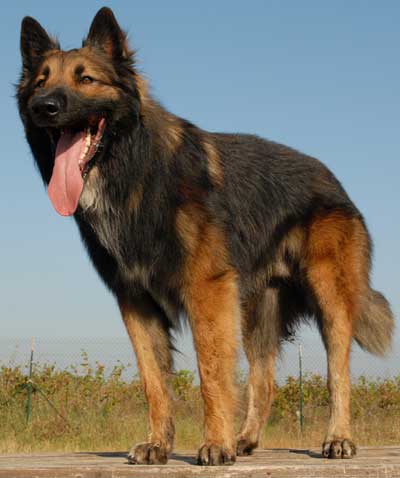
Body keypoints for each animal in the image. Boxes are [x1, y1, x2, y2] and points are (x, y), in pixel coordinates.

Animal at [18, 5, 394, 464]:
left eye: (85, 78)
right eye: (41, 81)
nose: (45, 106)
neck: (134, 172)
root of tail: (334, 181)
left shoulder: (207, 291)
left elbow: (211, 374)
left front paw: (215, 444)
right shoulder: (136, 300)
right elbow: (155, 382)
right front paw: (159, 444)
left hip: (330, 296)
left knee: (337, 373)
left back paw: (337, 438)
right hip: (256, 311)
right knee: (264, 380)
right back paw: (246, 439)